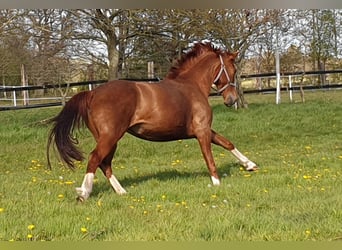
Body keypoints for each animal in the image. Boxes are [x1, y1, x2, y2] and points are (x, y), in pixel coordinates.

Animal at [47, 41, 256, 201]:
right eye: (233, 69)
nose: (232, 100)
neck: (192, 86)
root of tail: (92, 93)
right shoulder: (202, 130)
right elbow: (209, 156)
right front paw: (217, 182)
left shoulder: (201, 130)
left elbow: (227, 143)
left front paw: (250, 165)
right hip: (110, 136)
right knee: (94, 159)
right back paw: (84, 193)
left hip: (109, 139)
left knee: (104, 163)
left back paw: (122, 192)